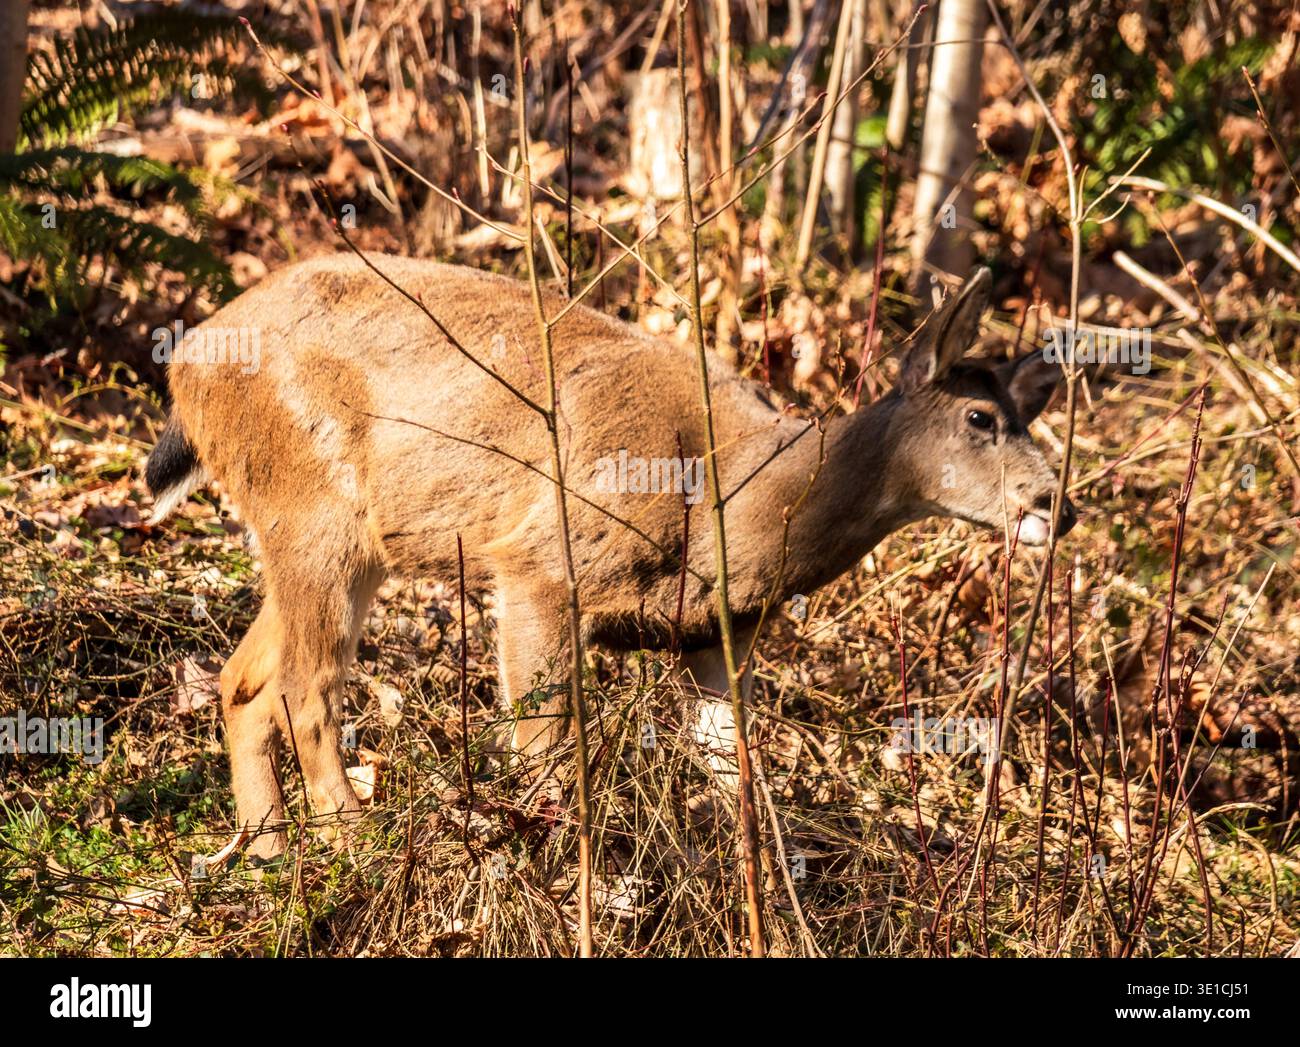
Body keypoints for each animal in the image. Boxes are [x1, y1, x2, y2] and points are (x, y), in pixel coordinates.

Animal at [146, 254, 1077, 857]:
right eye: (980, 419)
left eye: (1024, 415)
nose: (1055, 505)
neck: (732, 503)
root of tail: (188, 365)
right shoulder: (538, 564)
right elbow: (546, 755)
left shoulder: (714, 637)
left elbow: (736, 772)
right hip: (317, 509)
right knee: (304, 684)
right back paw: (350, 836)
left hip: (326, 534)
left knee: (242, 679)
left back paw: (266, 849)